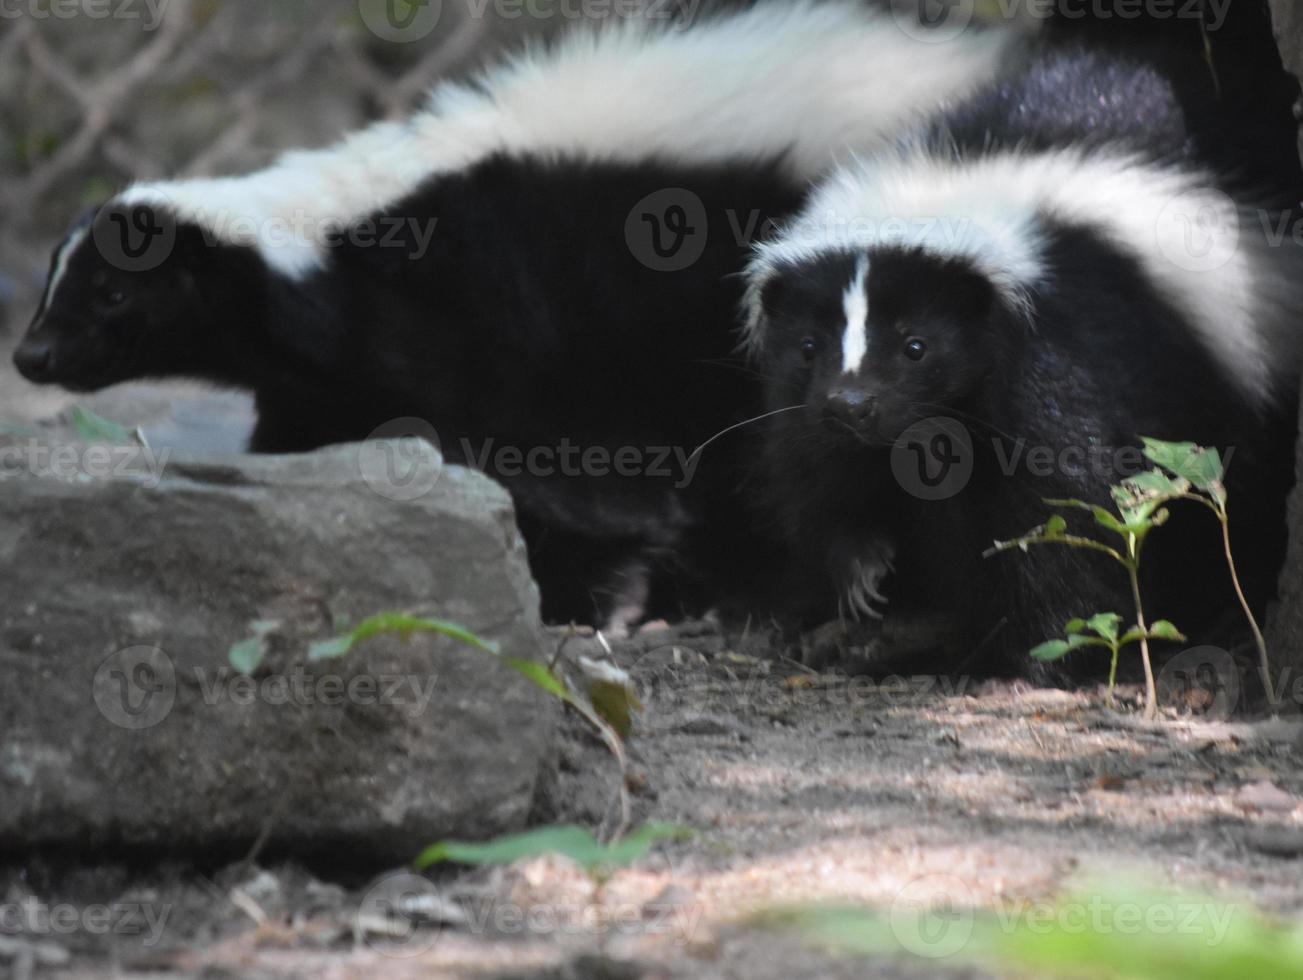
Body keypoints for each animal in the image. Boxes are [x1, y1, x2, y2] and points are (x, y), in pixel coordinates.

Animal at [12, 0, 1026, 622]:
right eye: (54, 283)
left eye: (111, 292)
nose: (30, 357)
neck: (336, 240)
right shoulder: (337, 380)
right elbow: (317, 440)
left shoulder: (507, 322)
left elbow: (563, 476)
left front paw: (600, 590)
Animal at [745, 43, 1303, 672]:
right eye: (808, 347)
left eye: (917, 346)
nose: (851, 405)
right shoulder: (805, 411)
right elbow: (819, 476)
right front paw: (862, 574)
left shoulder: (1063, 351)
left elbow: (1063, 509)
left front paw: (1039, 657)